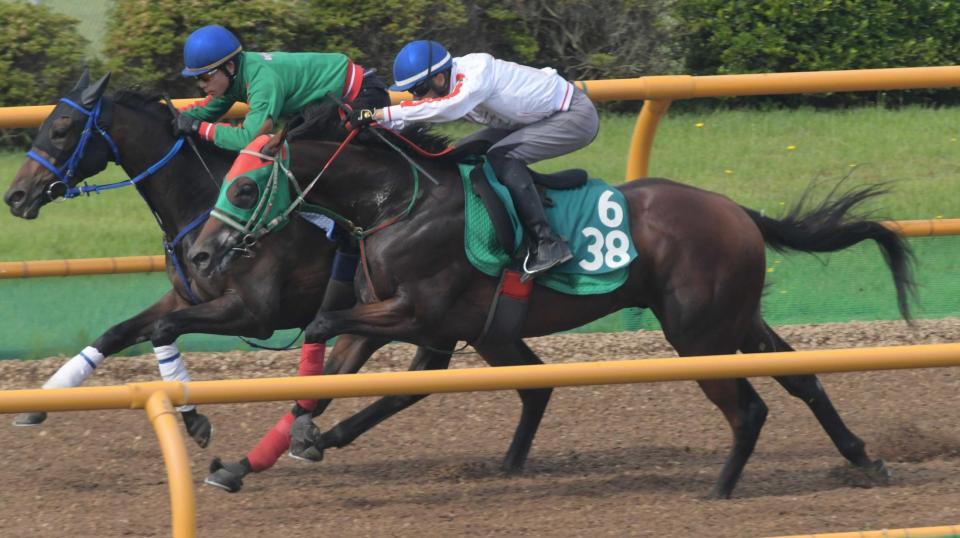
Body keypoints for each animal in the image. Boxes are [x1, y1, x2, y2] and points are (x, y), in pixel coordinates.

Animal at [191, 102, 920, 496]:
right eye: (225, 181)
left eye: (246, 188)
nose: (199, 255)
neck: (398, 202)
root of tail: (737, 210)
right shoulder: (402, 322)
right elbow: (332, 371)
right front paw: (247, 463)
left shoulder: (420, 316)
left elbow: (323, 325)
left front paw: (308, 434)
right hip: (735, 319)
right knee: (803, 381)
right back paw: (864, 458)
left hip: (699, 332)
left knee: (749, 408)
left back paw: (720, 488)